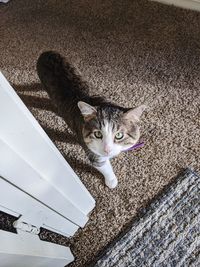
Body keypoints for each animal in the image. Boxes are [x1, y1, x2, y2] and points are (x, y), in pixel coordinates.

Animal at [36, 52, 146, 189]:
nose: (107, 150)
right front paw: (111, 180)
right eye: (97, 134)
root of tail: (46, 53)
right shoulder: (93, 152)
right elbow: (103, 166)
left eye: (119, 135)